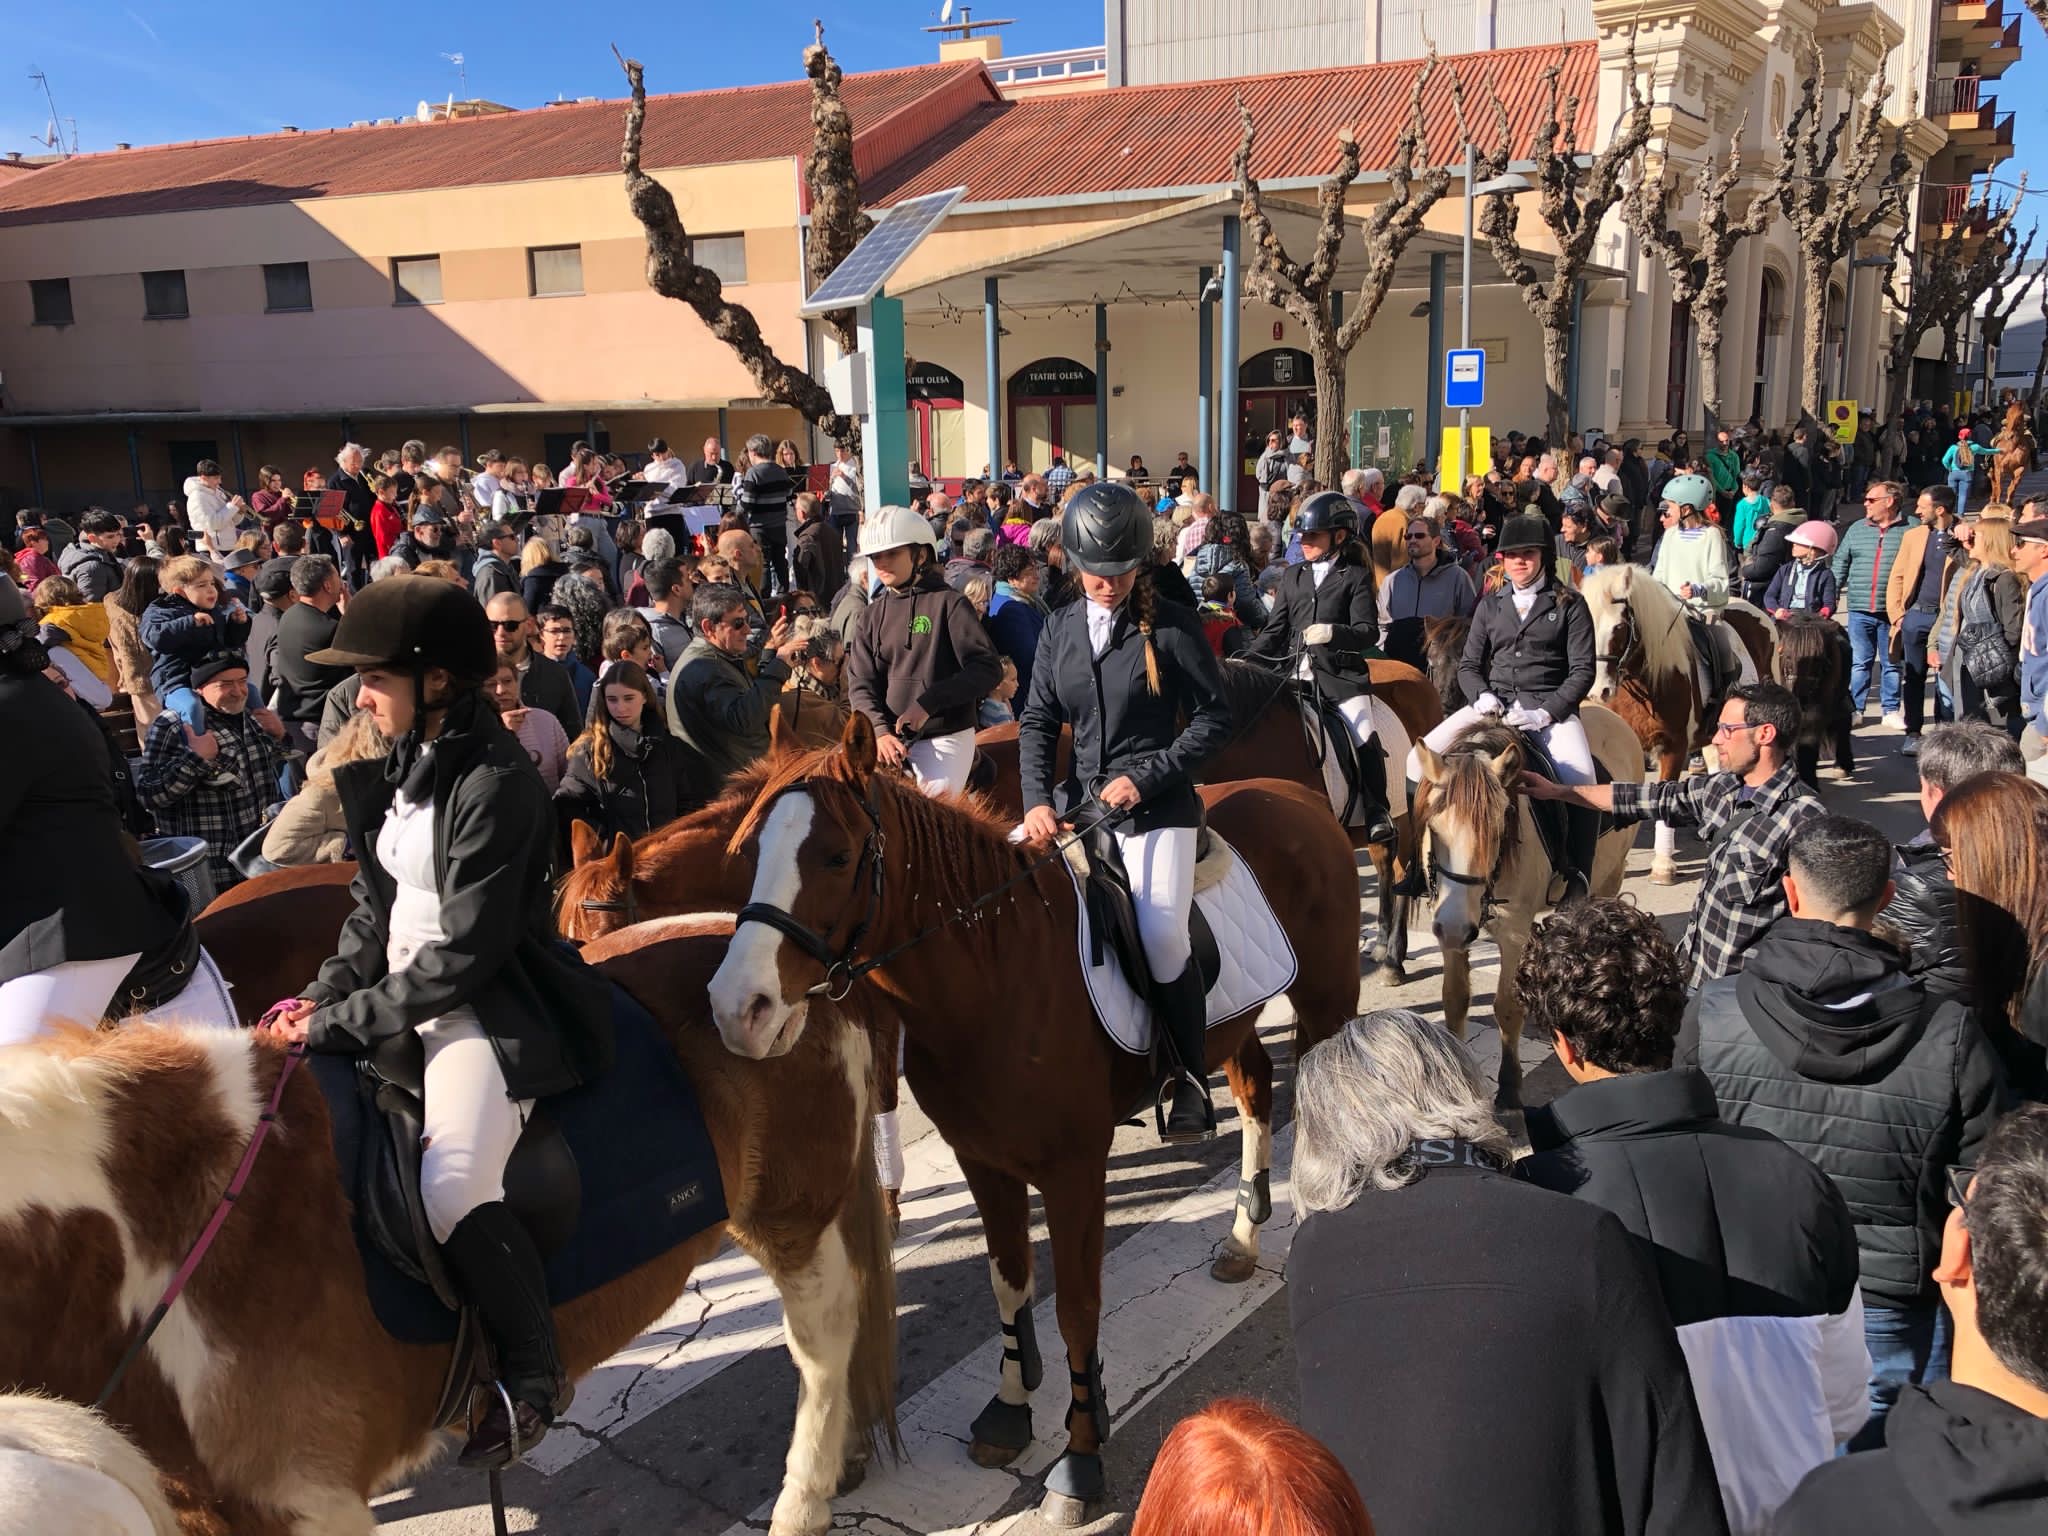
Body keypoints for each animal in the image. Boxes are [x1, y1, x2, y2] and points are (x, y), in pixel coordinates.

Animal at [704, 720, 1359, 1531]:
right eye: (748, 853)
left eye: (836, 855)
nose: (738, 1009)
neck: (997, 972)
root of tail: (1298, 794)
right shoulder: (982, 1161)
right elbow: (1008, 1281)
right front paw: (1012, 1407)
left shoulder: (1074, 1171)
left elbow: (1077, 1309)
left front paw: (1079, 1459)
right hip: (1231, 1024)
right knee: (1256, 1090)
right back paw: (1242, 1238)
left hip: (1327, 1000)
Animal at [1417, 708, 1638, 1105]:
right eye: (1433, 824)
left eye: (1497, 829)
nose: (1456, 927)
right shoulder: (1448, 930)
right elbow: (1454, 1000)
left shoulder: (1513, 935)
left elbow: (1507, 1008)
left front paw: (1508, 1089)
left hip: (1611, 876)